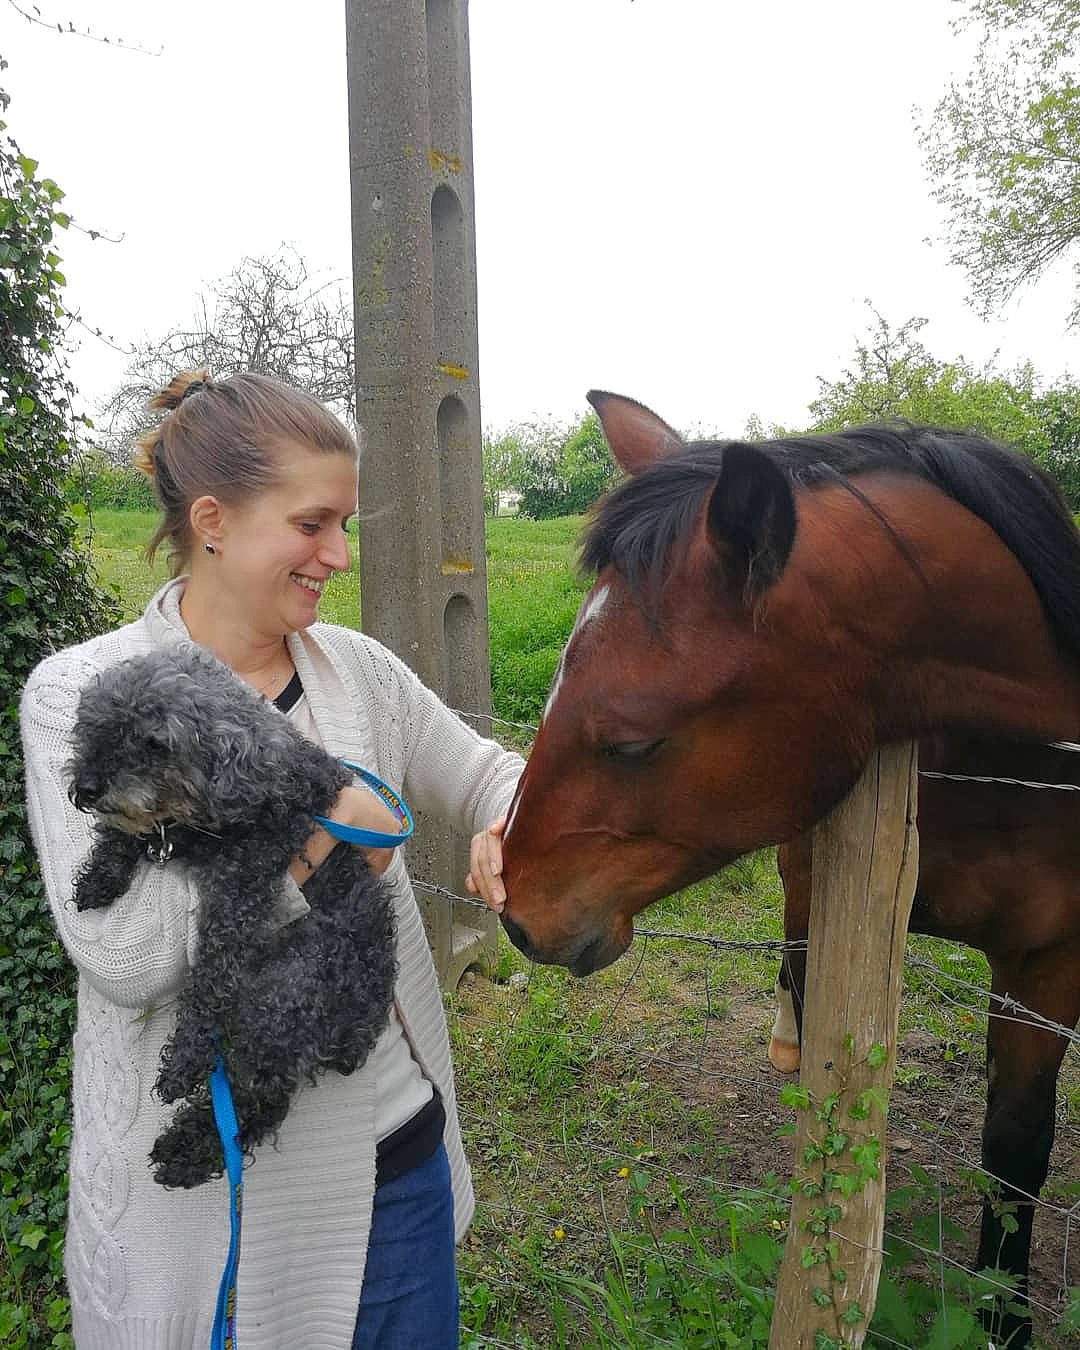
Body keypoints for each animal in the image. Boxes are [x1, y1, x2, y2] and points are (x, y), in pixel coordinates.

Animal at [497, 391, 1080, 1347]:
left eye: (633, 742)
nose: (518, 915)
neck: (1013, 767)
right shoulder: (819, 886)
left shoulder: (1048, 964)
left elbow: (1014, 1154)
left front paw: (1006, 1319)